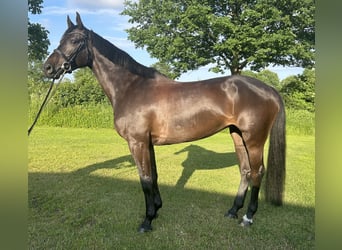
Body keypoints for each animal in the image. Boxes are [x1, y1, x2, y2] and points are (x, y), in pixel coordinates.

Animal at [44, 13, 288, 232]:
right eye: (61, 39)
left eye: (75, 40)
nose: (47, 68)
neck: (131, 87)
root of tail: (269, 89)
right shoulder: (147, 143)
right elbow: (153, 176)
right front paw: (157, 209)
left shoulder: (137, 142)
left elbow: (144, 179)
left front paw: (147, 220)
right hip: (237, 135)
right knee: (245, 170)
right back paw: (233, 211)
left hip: (254, 140)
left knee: (257, 172)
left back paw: (248, 217)